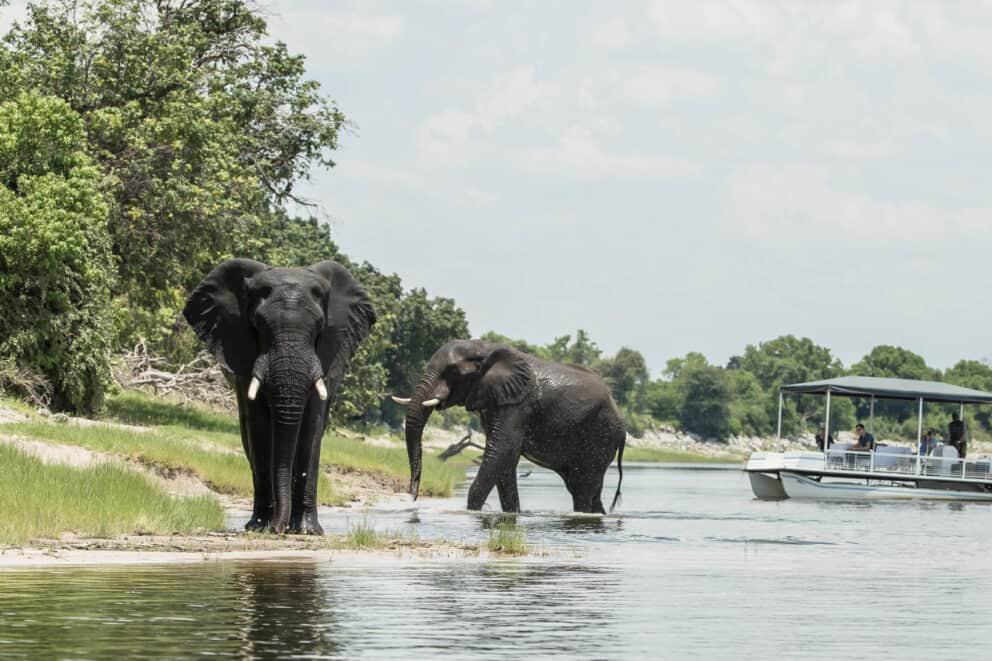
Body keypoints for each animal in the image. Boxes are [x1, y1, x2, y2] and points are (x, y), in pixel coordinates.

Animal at [183, 259, 375, 534]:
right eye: (259, 327)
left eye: (318, 327)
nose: (277, 529)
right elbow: (259, 426)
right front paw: (260, 527)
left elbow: (312, 425)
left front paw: (307, 531)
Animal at [395, 339, 626, 514]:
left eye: (452, 372)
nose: (413, 494)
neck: (485, 348)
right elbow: (505, 460)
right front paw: (512, 515)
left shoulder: (517, 405)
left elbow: (502, 451)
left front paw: (473, 512)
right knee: (586, 489)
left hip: (600, 436)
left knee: (582, 489)